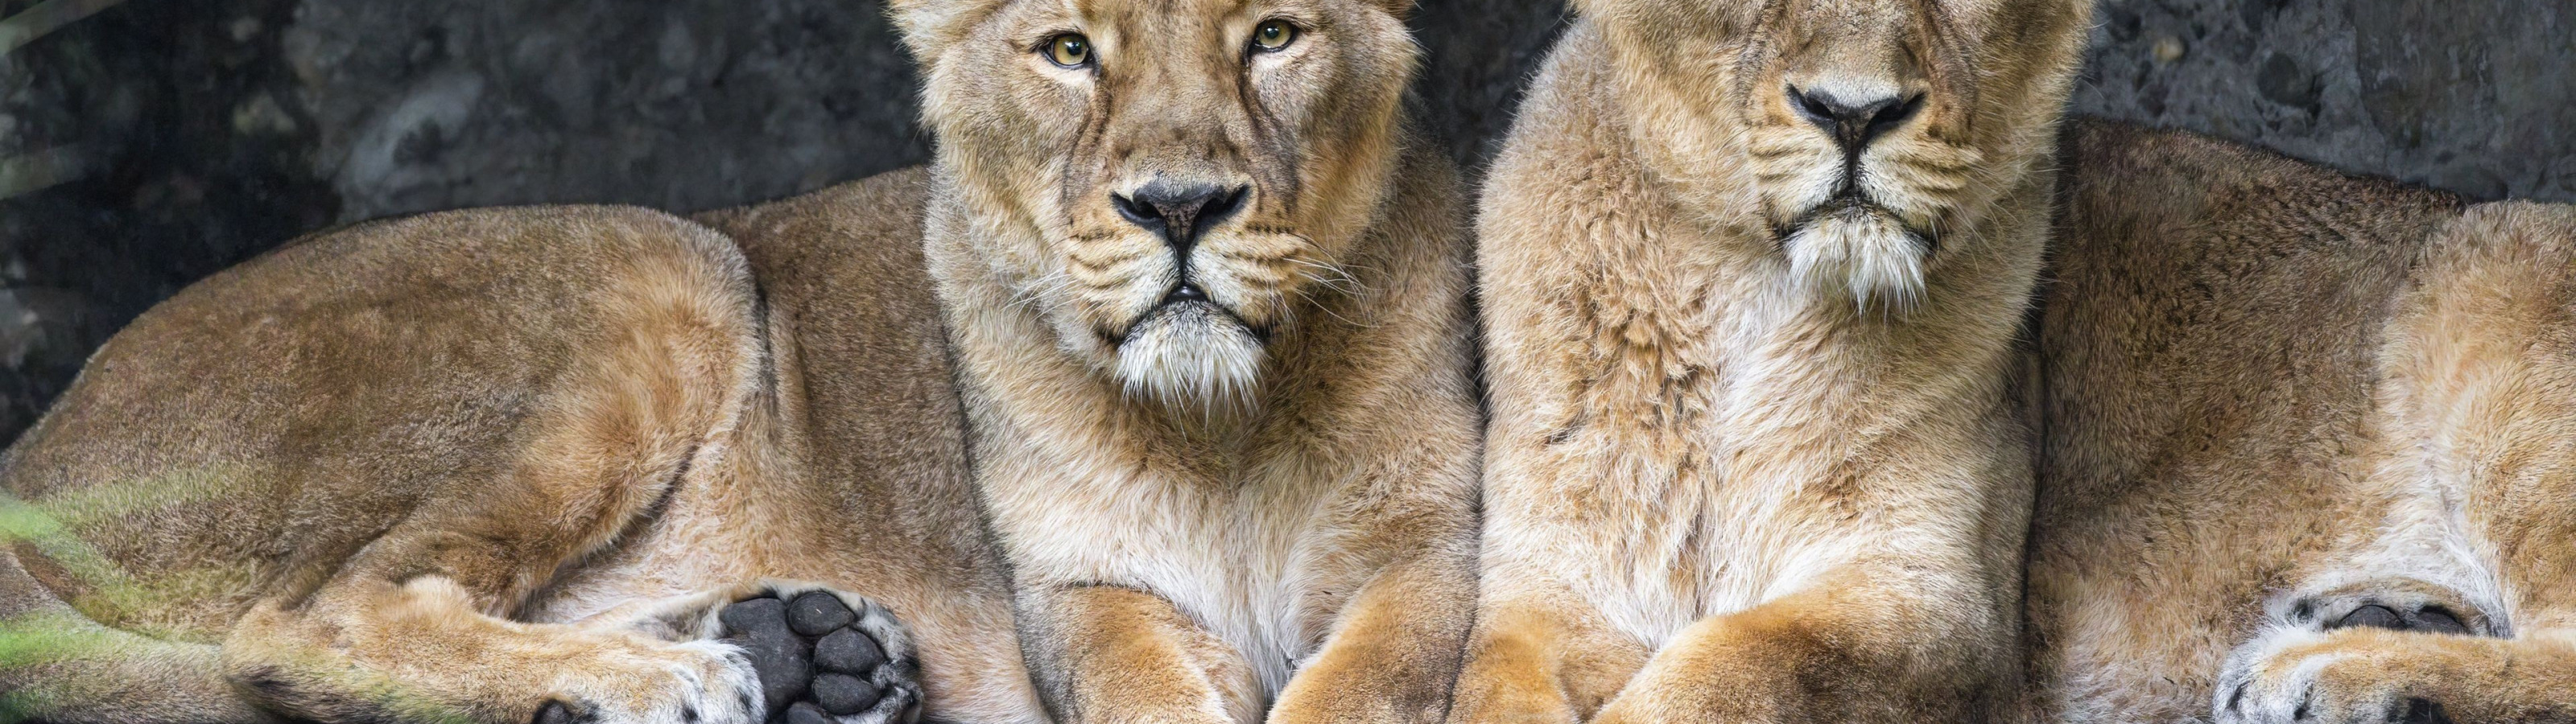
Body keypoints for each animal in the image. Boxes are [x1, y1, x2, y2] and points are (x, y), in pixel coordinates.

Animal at [0, 0, 1476, 722]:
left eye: (1275, 41)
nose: (1179, 208)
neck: (1232, 417)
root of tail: (37, 446)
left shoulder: (1433, 567)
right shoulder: (1097, 602)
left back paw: (802, 652)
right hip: (667, 261)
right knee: (306, 620)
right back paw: (664, 682)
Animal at [1450, 1, 2091, 723]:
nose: (1853, 113)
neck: (1744, 288)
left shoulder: (1948, 603)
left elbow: (1741, 663)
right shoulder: (1549, 592)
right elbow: (1493, 689)